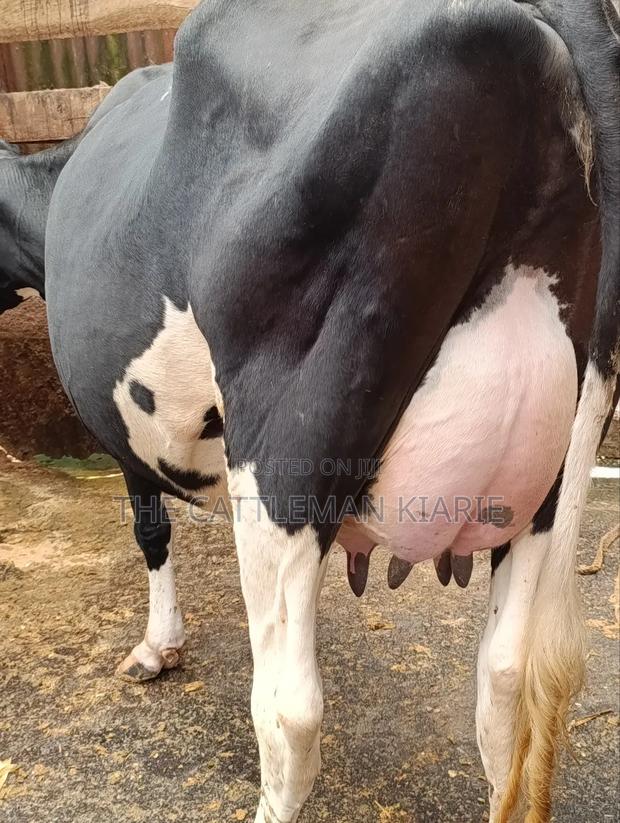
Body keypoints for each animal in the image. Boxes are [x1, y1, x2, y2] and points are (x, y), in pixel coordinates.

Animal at [42, 1, 618, 821]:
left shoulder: (130, 444)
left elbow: (150, 530)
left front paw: (157, 646)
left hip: (285, 458)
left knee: (289, 711)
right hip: (547, 480)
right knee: (504, 682)